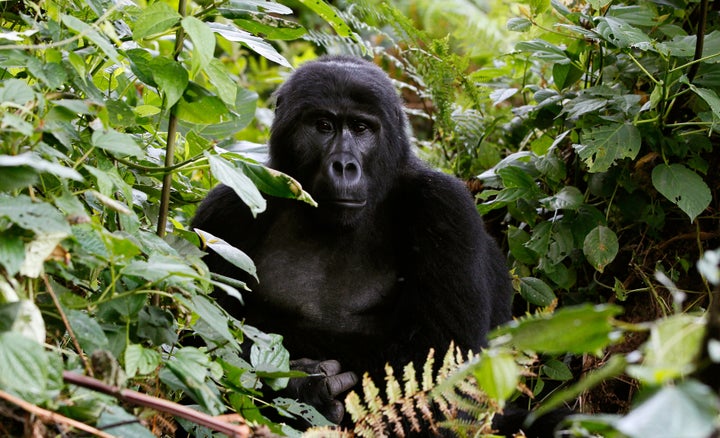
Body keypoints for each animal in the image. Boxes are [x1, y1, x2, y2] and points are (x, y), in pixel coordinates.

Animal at [191, 54, 512, 428]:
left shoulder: (446, 206)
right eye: (323, 125)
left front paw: (309, 390)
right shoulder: (224, 211)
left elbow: (443, 373)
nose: (344, 166)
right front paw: (306, 388)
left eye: (361, 129)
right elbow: (199, 337)